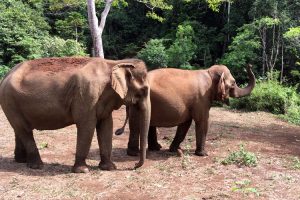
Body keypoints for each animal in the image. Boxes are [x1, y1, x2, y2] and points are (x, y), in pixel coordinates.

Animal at [0, 57, 150, 173]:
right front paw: (82, 170)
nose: (134, 165)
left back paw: (20, 161)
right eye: (143, 90)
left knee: (19, 129)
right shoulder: (87, 94)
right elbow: (87, 126)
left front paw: (109, 168)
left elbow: (106, 126)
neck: (114, 63)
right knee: (24, 130)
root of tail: (6, 75)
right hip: (9, 101)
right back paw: (37, 166)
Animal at [116, 64, 254, 156]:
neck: (209, 72)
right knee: (136, 125)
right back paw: (134, 154)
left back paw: (155, 148)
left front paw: (174, 149)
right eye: (234, 83)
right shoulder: (201, 99)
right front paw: (203, 154)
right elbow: (202, 121)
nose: (249, 65)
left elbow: (185, 123)